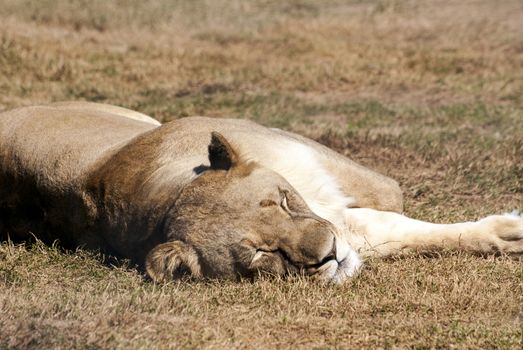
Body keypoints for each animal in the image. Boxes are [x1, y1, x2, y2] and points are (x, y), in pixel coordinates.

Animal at [0, 102, 520, 284]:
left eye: (282, 202)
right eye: (263, 255)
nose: (330, 255)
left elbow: (398, 206)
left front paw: (509, 232)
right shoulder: (344, 221)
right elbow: (403, 228)